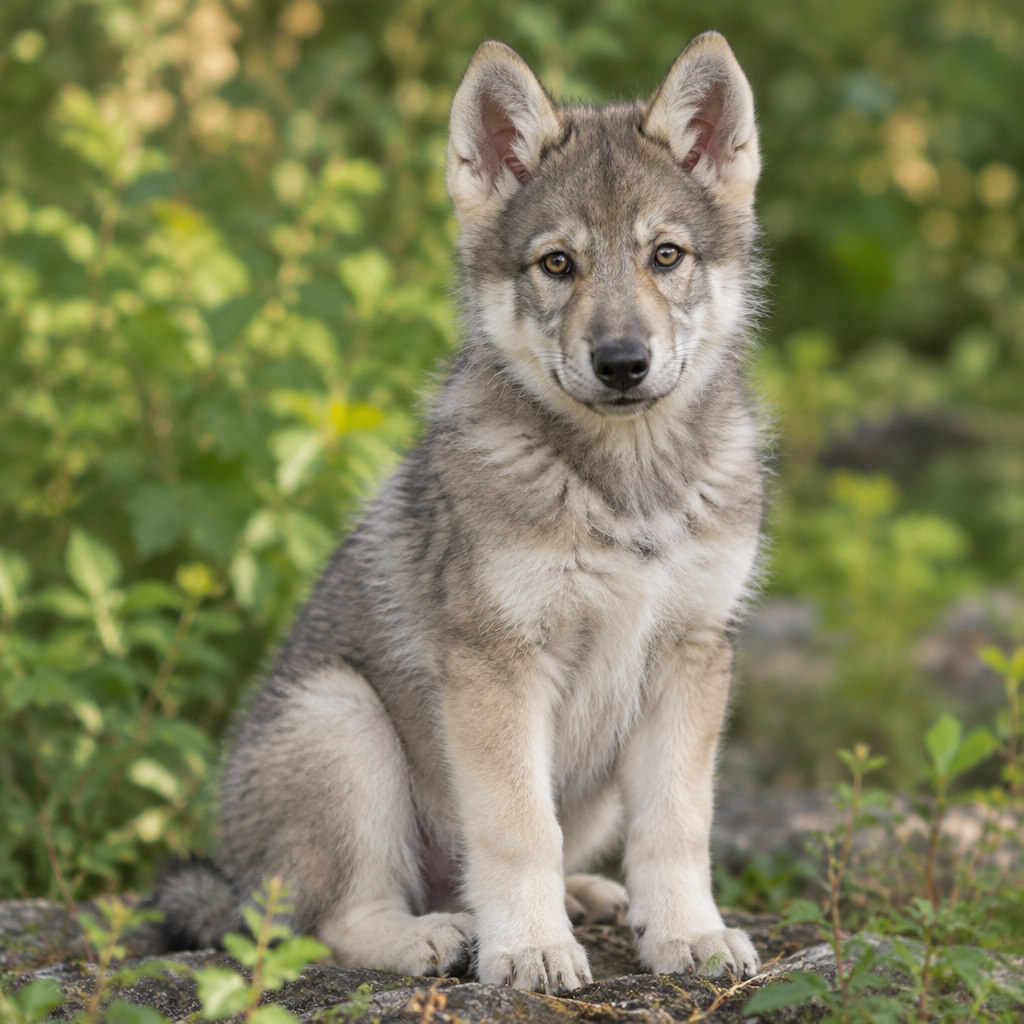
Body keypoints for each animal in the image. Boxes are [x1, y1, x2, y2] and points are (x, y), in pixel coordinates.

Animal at [156, 31, 765, 994]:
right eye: (557, 264)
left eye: (666, 256)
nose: (622, 362)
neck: (625, 485)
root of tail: (241, 879)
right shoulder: (497, 665)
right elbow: (517, 828)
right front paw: (531, 950)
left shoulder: (691, 655)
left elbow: (677, 824)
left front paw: (690, 935)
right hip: (344, 719)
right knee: (321, 925)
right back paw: (439, 936)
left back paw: (587, 898)